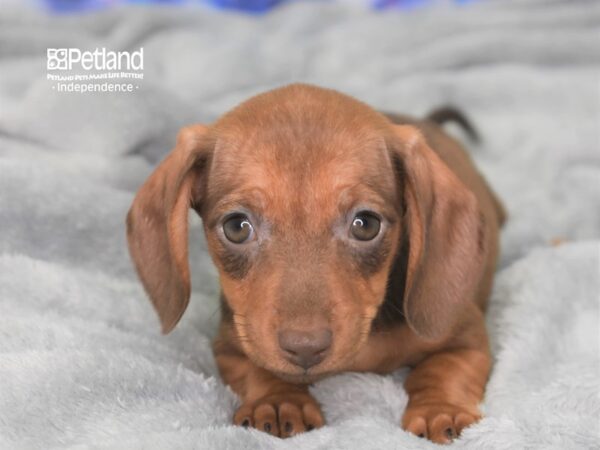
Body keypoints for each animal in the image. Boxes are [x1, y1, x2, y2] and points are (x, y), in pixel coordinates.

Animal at [127, 83, 506, 442]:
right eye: (236, 227)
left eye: (366, 224)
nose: (305, 348)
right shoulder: (231, 343)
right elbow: (257, 369)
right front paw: (278, 401)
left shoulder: (468, 336)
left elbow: (444, 368)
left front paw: (441, 410)